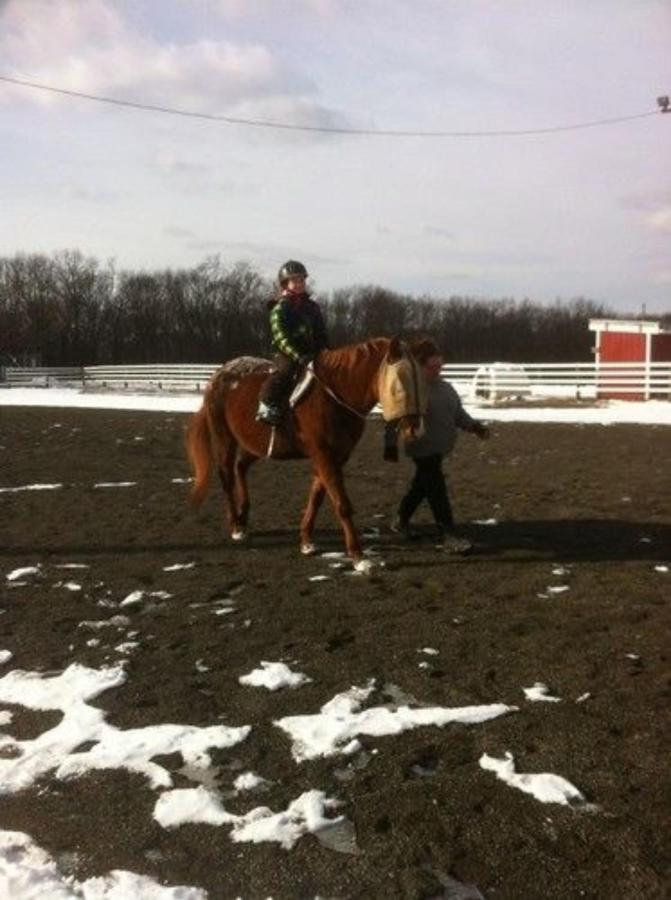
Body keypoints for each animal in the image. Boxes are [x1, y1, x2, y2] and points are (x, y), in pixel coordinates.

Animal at [184, 334, 426, 572]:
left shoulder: (335, 456)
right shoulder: (323, 454)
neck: (333, 395)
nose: (415, 428)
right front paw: (358, 556)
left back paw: (243, 517)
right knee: (226, 475)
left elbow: (317, 497)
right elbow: (342, 504)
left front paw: (307, 541)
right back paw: (236, 525)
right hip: (224, 437)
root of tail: (219, 374)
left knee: (240, 467)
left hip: (255, 444)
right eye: (398, 385)